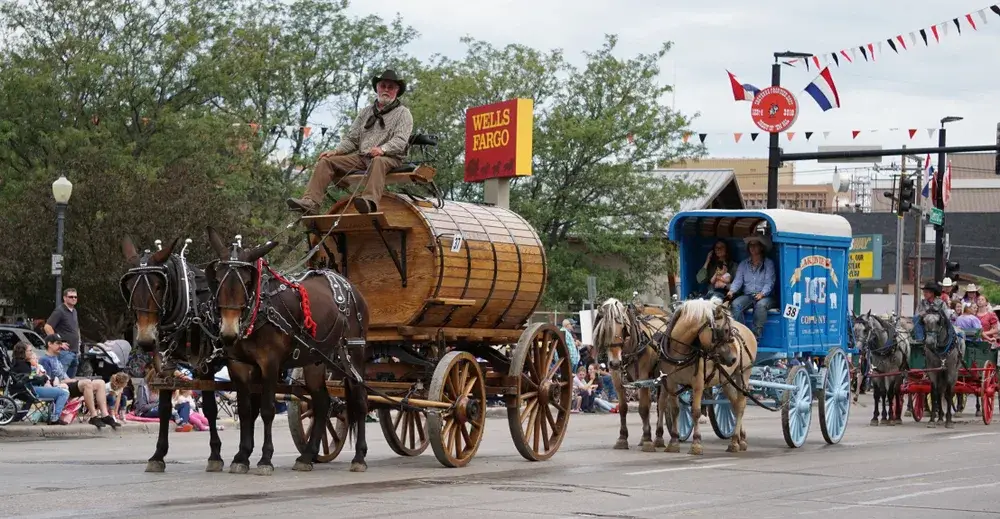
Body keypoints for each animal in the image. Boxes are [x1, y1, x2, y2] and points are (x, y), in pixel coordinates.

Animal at [119, 238, 232, 474]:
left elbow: (210, 408)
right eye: (129, 287)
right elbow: (164, 409)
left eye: (159, 285)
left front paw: (215, 455)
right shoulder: (166, 366)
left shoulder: (204, 367)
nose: (145, 340)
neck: (190, 306)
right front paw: (158, 455)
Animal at [203, 228, 372, 476]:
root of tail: (348, 285)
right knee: (322, 402)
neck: (259, 310)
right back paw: (307, 456)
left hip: (353, 352)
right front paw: (242, 456)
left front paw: (265, 458)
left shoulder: (270, 364)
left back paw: (359, 456)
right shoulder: (238, 365)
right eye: (218, 279)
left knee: (360, 400)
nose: (228, 332)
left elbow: (267, 410)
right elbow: (245, 410)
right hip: (315, 360)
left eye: (247, 281)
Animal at [592, 298, 672, 452]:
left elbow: (644, 408)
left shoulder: (643, 377)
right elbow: (623, 408)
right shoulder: (617, 378)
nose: (615, 362)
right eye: (605, 330)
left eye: (623, 329)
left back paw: (658, 437)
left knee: (662, 404)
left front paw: (648, 440)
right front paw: (622, 438)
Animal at [656, 300, 756, 456]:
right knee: (734, 404)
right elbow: (675, 409)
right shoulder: (671, 381)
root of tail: (747, 330)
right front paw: (673, 442)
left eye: (729, 330)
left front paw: (696, 443)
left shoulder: (698, 384)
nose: (733, 358)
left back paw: (734, 441)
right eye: (725, 330)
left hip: (743, 374)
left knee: (740, 405)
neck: (680, 351)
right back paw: (741, 438)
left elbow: (696, 411)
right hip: (726, 380)